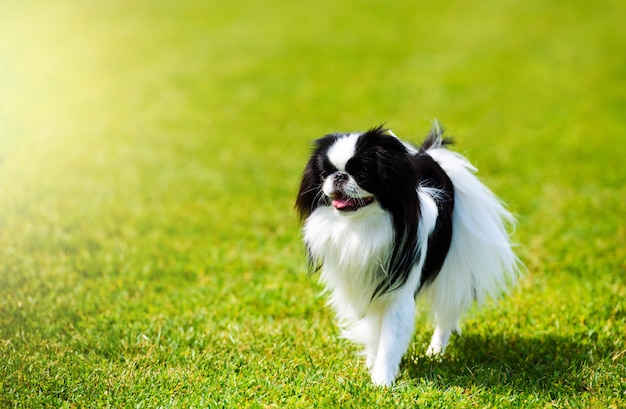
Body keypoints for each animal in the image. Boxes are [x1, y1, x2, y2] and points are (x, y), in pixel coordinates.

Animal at [294, 122, 520, 384]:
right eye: (324, 174)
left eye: (362, 175)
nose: (339, 176)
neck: (360, 227)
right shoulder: (364, 287)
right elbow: (374, 332)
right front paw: (372, 363)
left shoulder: (397, 295)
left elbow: (390, 339)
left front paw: (381, 381)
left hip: (451, 273)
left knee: (446, 315)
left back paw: (435, 352)